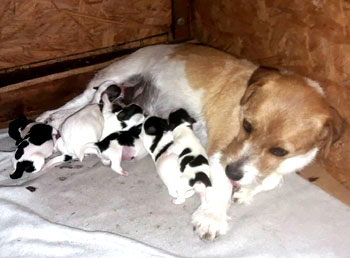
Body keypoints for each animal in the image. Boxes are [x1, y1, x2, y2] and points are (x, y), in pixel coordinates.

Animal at [36, 42, 344, 240]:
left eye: (280, 150)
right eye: (246, 125)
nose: (234, 173)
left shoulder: (277, 167)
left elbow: (272, 180)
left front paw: (246, 191)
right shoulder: (219, 154)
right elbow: (219, 189)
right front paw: (213, 218)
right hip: (113, 77)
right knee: (78, 101)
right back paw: (50, 118)